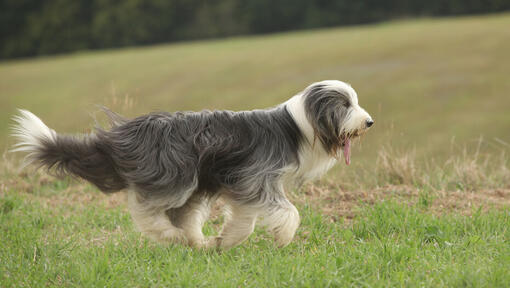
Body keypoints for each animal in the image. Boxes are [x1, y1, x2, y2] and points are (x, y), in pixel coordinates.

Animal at [9, 80, 372, 249]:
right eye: (345, 104)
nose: (369, 122)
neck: (294, 125)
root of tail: (127, 134)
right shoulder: (255, 177)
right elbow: (287, 212)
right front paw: (283, 236)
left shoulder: (245, 183)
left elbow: (244, 220)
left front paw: (225, 242)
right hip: (176, 176)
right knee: (147, 211)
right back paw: (171, 236)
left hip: (193, 184)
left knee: (181, 216)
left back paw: (195, 242)